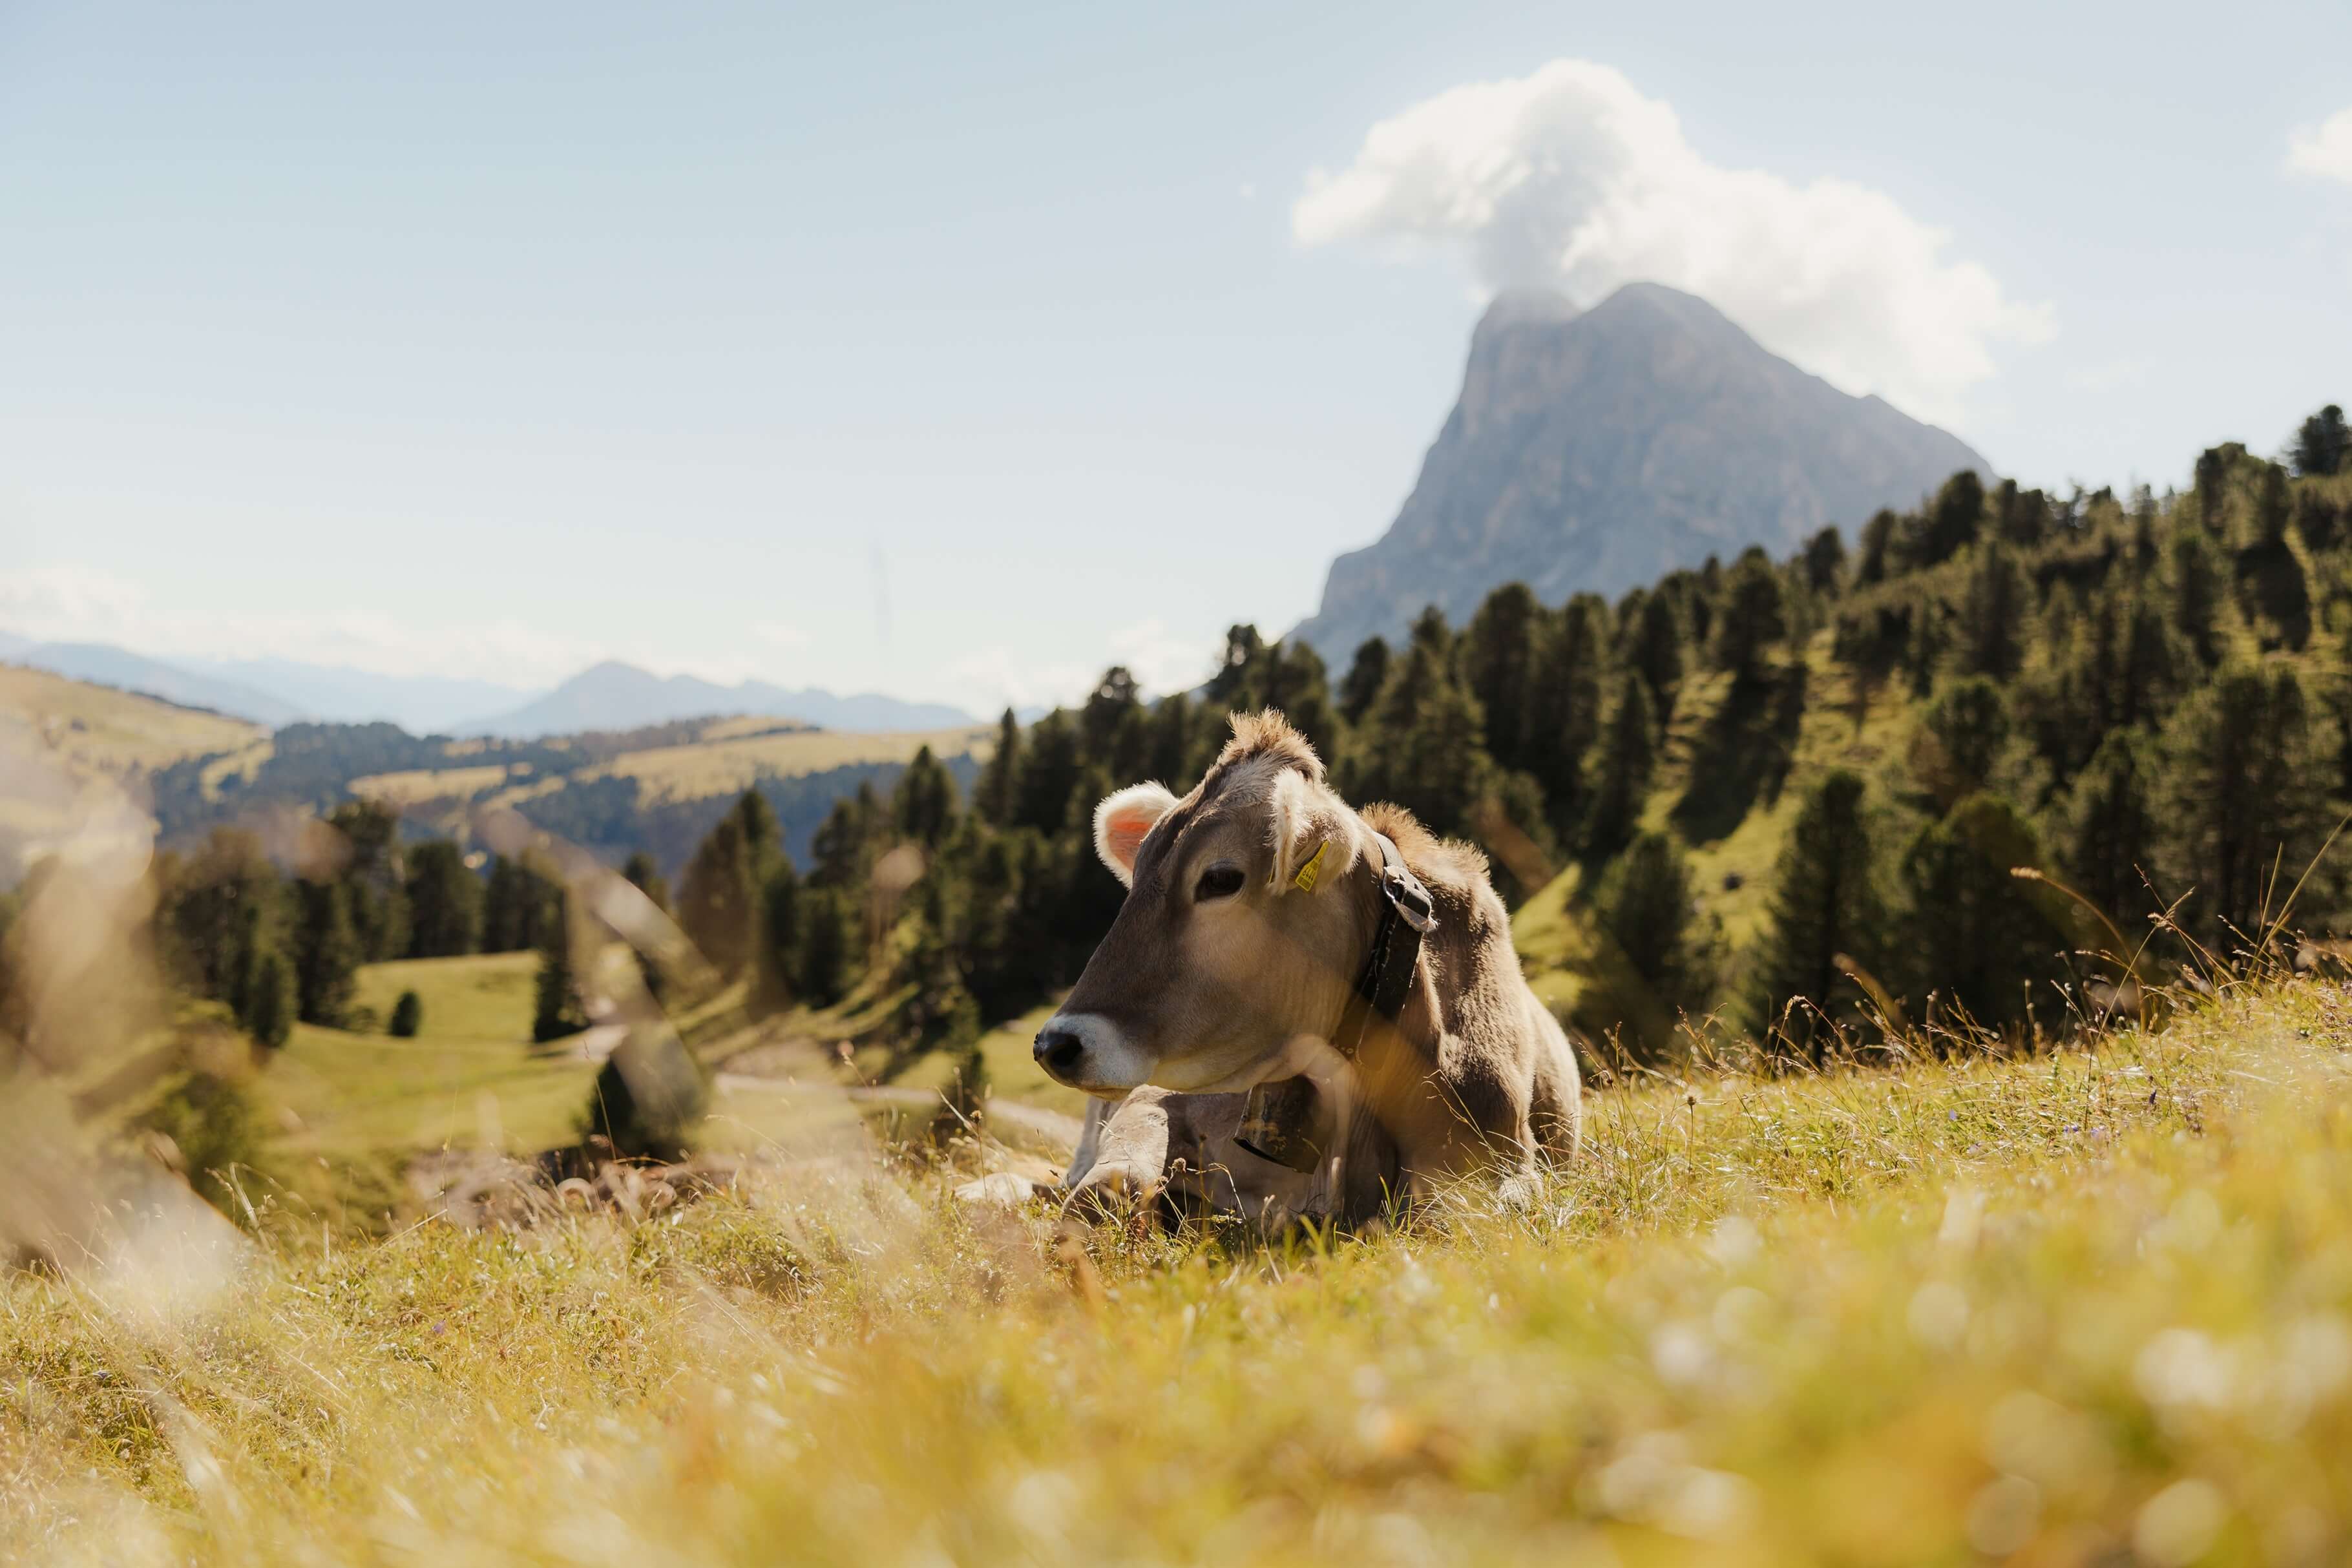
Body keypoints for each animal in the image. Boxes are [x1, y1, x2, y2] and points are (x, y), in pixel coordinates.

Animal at [1022, 709, 1581, 1227]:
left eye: (1220, 879)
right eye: (1136, 876)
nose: (1055, 1043)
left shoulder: (1504, 1162)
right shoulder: (1156, 1102)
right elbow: (1114, 1182)